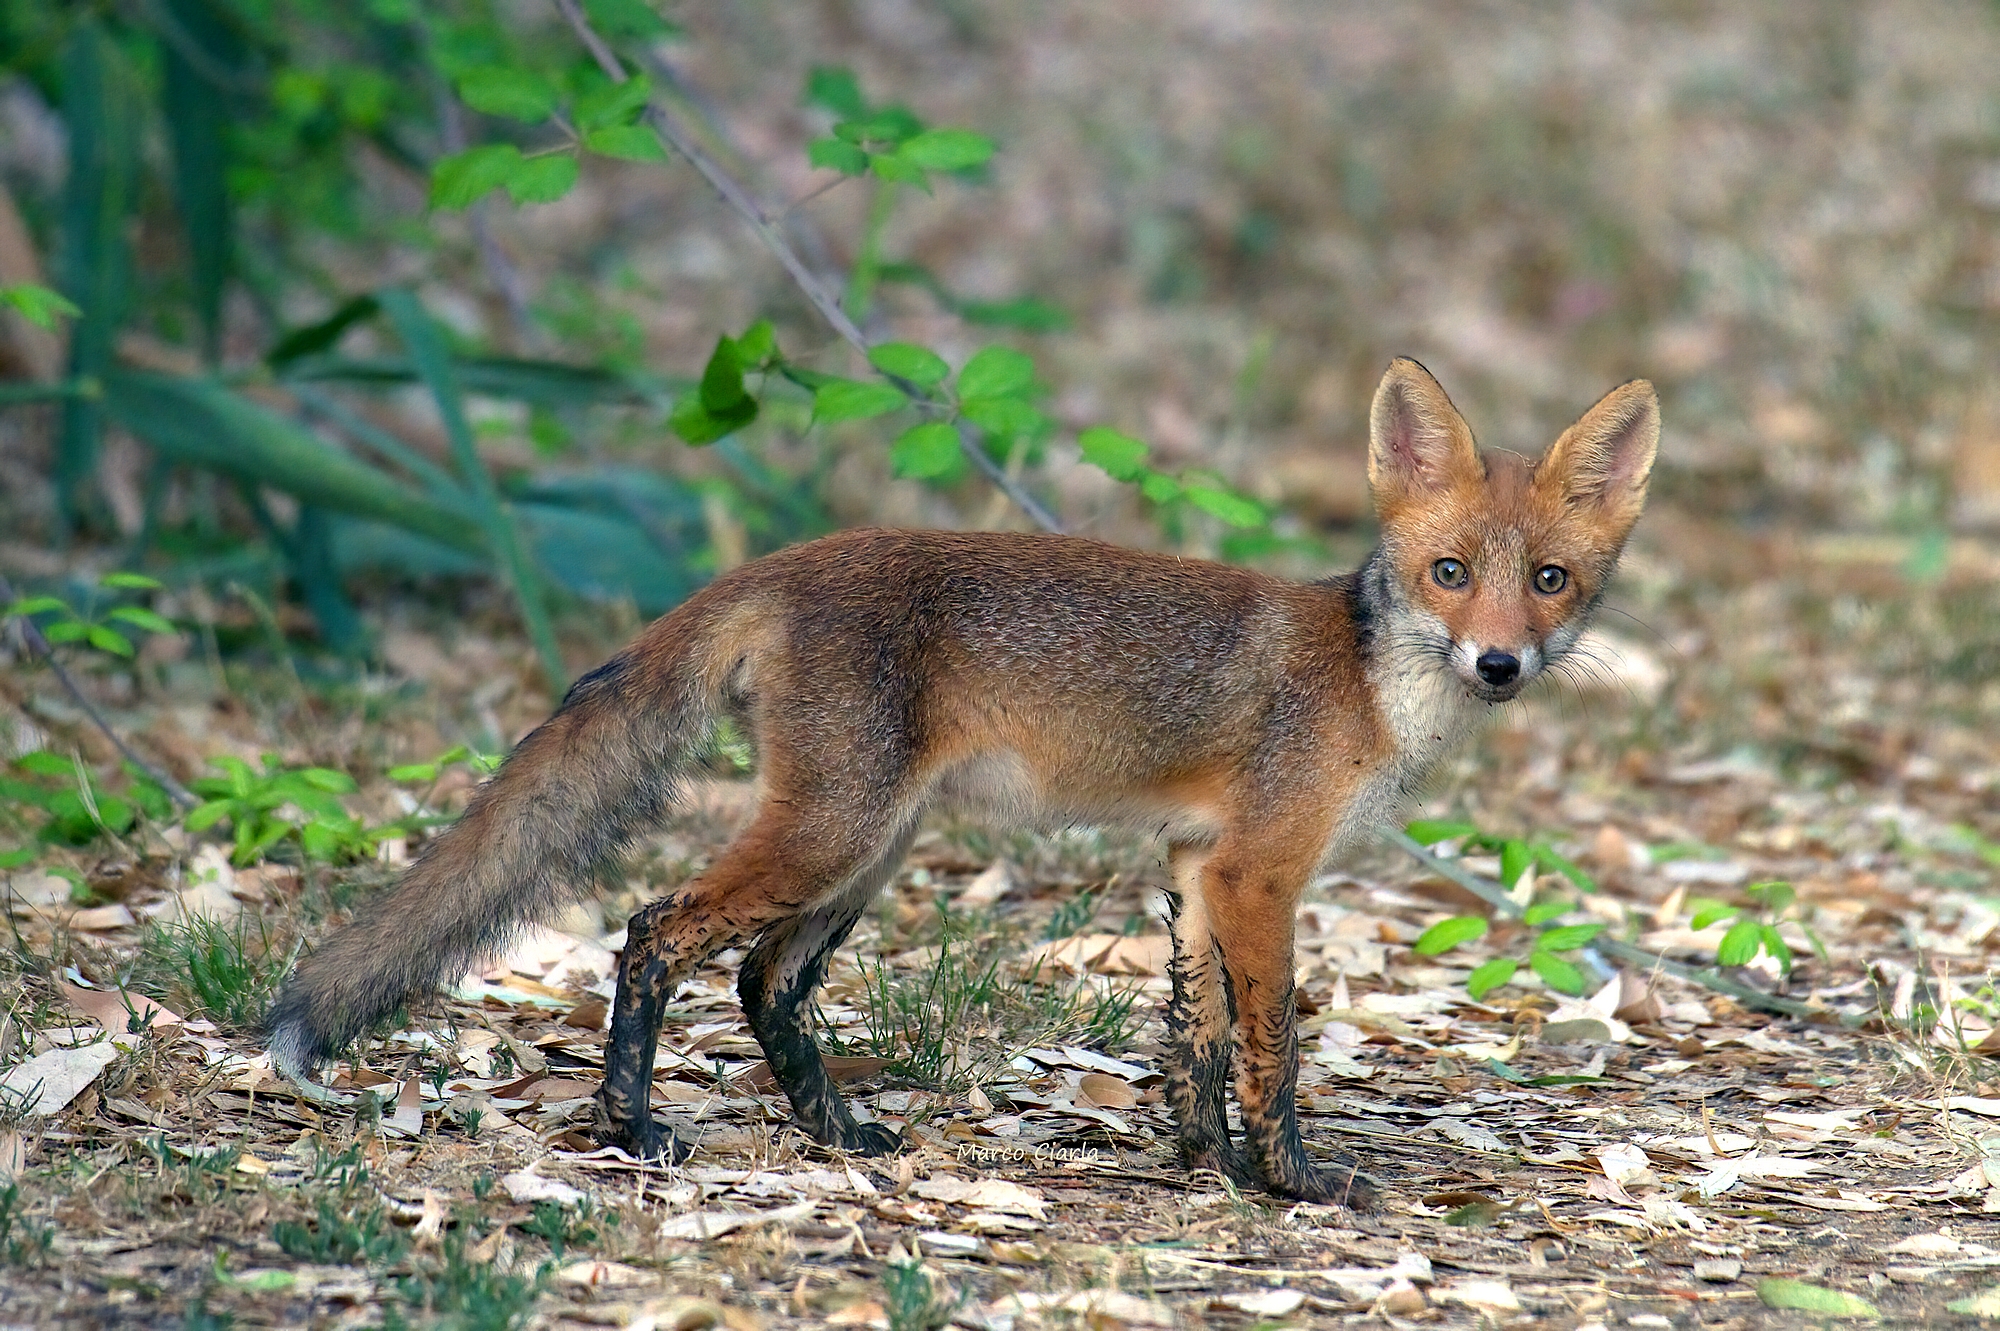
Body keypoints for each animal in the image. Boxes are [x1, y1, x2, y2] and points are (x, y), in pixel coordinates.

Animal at [266, 358, 1657, 1207]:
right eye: (1445, 571)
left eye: (1547, 582)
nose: (1496, 662)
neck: (1367, 679)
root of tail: (782, 560)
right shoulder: (1262, 868)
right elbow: (1272, 1046)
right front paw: (1290, 1181)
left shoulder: (1196, 860)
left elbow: (1196, 1038)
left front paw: (1199, 1162)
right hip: (832, 830)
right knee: (655, 930)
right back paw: (627, 1125)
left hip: (869, 842)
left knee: (762, 979)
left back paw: (837, 1135)